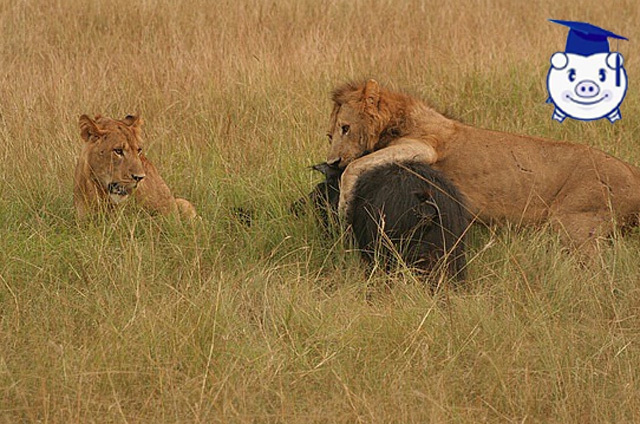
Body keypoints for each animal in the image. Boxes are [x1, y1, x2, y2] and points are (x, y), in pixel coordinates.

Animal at [328, 78, 640, 255]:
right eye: (330, 135)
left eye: (346, 128)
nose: (331, 161)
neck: (397, 118)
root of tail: (631, 171)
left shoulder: (426, 145)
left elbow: (355, 166)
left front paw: (343, 208)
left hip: (575, 223)